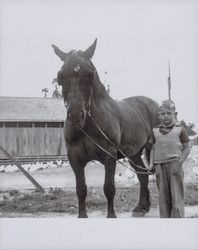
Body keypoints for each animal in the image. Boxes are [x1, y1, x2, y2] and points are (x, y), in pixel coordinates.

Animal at [51, 39, 159, 217]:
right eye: (60, 76)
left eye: (88, 75)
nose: (75, 116)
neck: (88, 125)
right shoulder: (74, 158)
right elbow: (81, 189)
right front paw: (82, 215)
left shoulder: (109, 156)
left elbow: (109, 188)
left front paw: (111, 215)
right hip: (134, 153)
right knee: (142, 175)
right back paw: (141, 207)